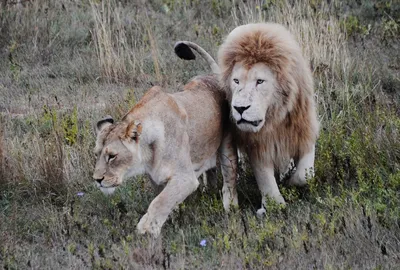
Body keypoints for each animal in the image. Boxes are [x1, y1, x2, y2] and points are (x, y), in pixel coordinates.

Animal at [92, 57, 238, 236]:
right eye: (96, 154)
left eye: (112, 156)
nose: (97, 180)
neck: (148, 154)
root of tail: (214, 76)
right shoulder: (156, 177)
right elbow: (163, 199)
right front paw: (170, 218)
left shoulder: (185, 177)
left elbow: (159, 202)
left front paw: (147, 229)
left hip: (227, 148)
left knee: (229, 177)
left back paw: (230, 208)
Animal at [175, 22, 318, 214]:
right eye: (236, 81)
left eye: (260, 81)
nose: (240, 108)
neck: (274, 117)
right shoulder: (257, 144)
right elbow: (265, 177)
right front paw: (274, 205)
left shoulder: (304, 130)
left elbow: (305, 174)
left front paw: (290, 181)